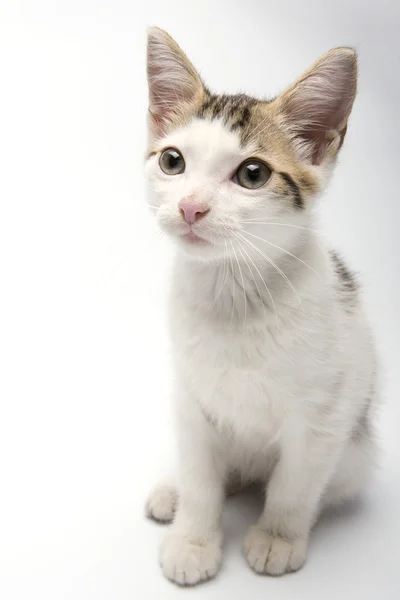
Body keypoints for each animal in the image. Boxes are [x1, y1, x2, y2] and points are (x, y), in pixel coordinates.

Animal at [144, 28, 378, 584]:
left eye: (253, 174)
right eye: (172, 161)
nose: (190, 207)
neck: (234, 296)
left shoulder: (324, 416)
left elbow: (296, 484)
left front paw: (278, 536)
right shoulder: (190, 397)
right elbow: (201, 476)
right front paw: (193, 538)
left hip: (356, 452)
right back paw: (174, 493)